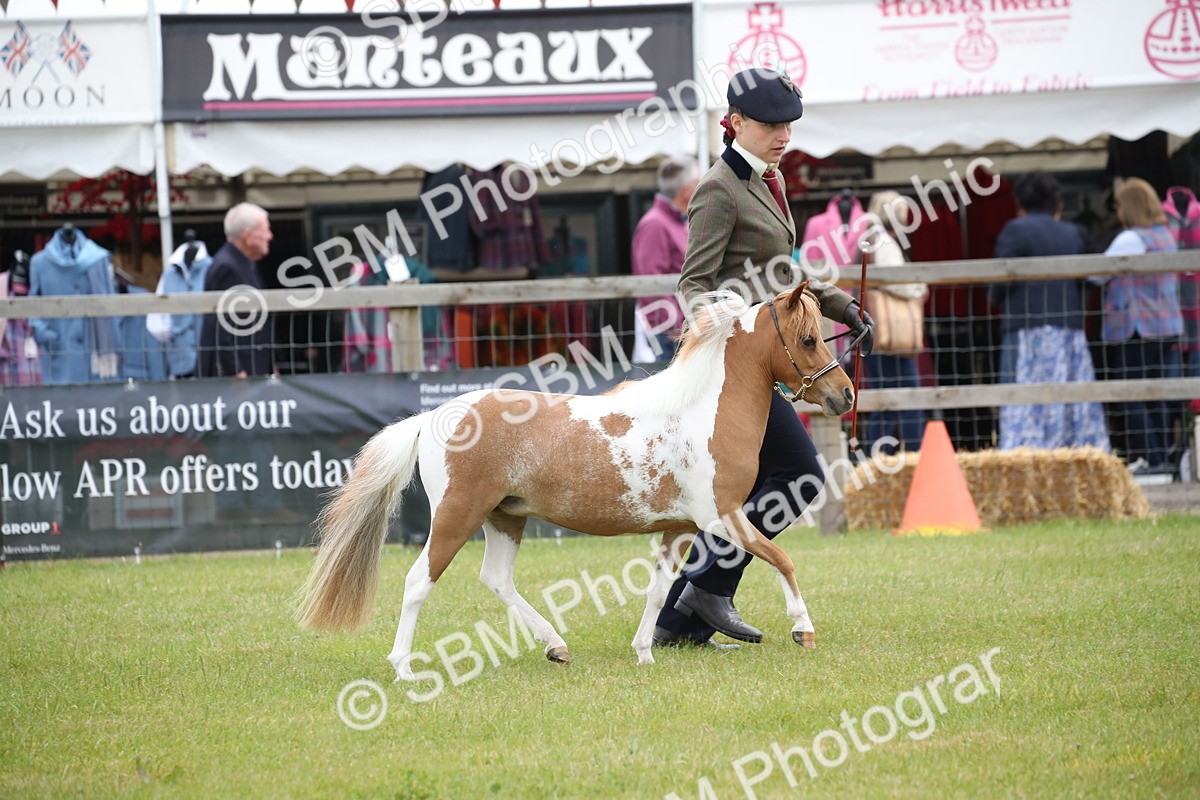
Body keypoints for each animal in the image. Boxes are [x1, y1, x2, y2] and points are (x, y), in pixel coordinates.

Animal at [297, 283, 855, 675]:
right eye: (808, 338)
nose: (845, 395)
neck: (701, 411)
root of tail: (434, 416)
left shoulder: (679, 528)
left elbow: (659, 589)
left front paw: (644, 653)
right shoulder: (723, 515)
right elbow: (781, 558)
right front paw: (803, 631)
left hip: (505, 517)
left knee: (496, 579)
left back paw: (556, 646)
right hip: (457, 515)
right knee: (419, 581)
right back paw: (404, 667)